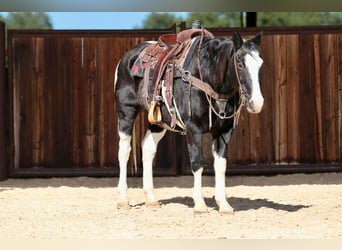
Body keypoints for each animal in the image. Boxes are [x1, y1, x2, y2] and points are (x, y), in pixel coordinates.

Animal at [115, 26, 264, 213]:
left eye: (260, 64)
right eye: (240, 64)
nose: (257, 103)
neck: (206, 75)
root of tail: (127, 57)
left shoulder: (224, 131)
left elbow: (220, 166)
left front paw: (223, 204)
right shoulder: (194, 129)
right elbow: (197, 163)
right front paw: (200, 204)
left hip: (158, 121)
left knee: (148, 148)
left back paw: (151, 198)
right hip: (126, 113)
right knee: (124, 151)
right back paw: (123, 199)